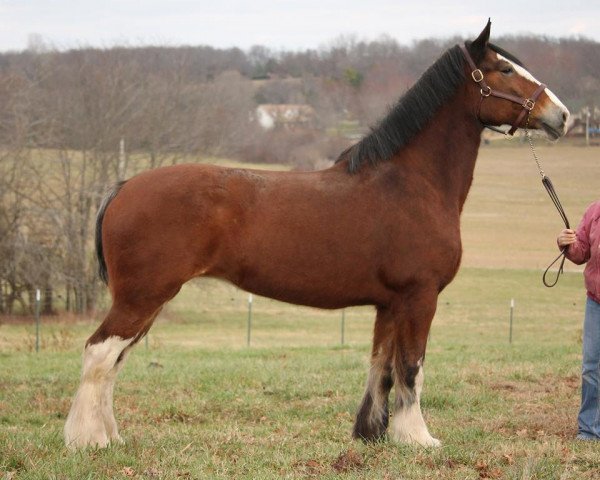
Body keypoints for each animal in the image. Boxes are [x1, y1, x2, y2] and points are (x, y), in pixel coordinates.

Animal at [63, 21, 568, 450]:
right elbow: (411, 367)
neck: (410, 183)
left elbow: (381, 366)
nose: (561, 116)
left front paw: (371, 434)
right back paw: (89, 440)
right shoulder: (419, 296)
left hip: (146, 302)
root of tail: (125, 186)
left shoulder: (389, 304)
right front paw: (418, 439)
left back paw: (111, 436)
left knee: (113, 361)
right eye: (505, 69)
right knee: (99, 354)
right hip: (142, 298)